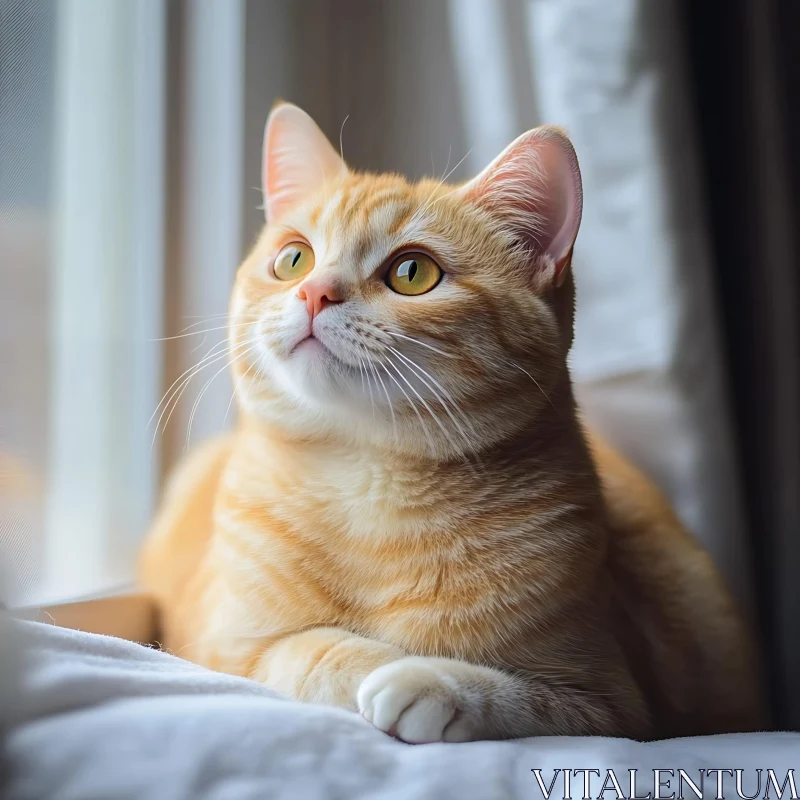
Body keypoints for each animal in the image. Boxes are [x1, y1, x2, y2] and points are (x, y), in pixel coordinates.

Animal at [141, 101, 764, 744]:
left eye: (412, 272)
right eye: (294, 259)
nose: (314, 293)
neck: (366, 483)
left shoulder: (613, 707)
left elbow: (520, 696)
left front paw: (431, 680)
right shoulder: (217, 644)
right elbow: (308, 650)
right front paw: (380, 661)